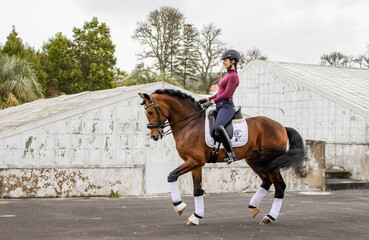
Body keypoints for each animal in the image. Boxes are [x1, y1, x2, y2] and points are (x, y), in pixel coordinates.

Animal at [138, 89, 304, 226]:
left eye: (151, 112)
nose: (154, 136)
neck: (190, 124)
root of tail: (282, 127)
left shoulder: (194, 161)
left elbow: (171, 176)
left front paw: (179, 206)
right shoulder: (195, 164)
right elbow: (197, 190)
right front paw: (196, 217)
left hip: (270, 161)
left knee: (280, 187)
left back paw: (269, 217)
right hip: (255, 160)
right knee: (267, 181)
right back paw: (253, 207)